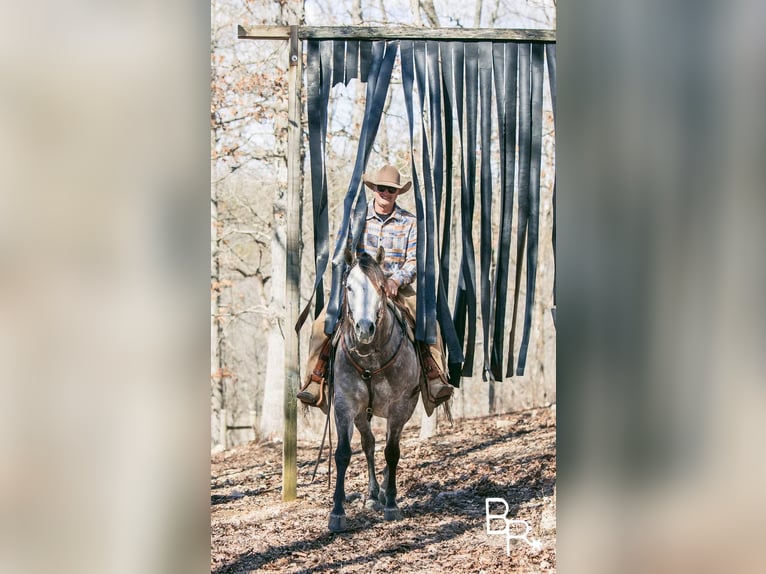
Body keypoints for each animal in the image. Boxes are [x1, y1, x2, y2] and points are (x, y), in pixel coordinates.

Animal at [328, 250, 424, 532]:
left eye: (381, 287)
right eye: (348, 287)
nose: (364, 328)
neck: (371, 357)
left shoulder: (400, 407)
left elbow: (392, 452)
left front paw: (391, 504)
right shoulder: (345, 405)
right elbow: (343, 453)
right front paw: (337, 512)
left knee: (389, 444)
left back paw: (382, 492)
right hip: (362, 414)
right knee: (369, 444)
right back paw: (372, 495)